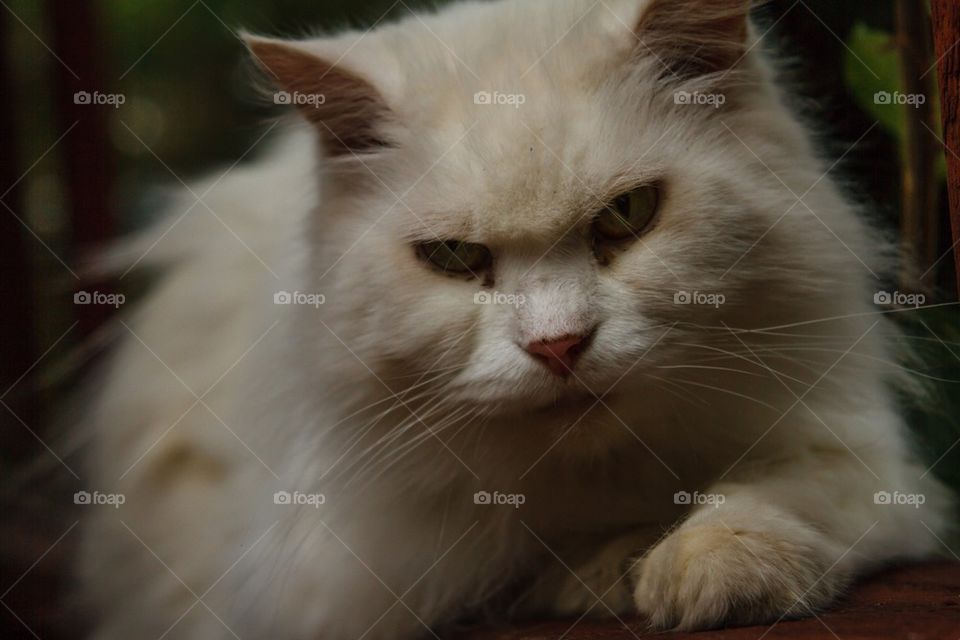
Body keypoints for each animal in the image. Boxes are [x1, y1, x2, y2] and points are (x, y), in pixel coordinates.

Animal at [80, 0, 952, 636]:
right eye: (455, 258)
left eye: (627, 215)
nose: (560, 346)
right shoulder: (337, 570)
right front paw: (612, 569)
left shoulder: (864, 458)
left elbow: (782, 495)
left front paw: (702, 566)